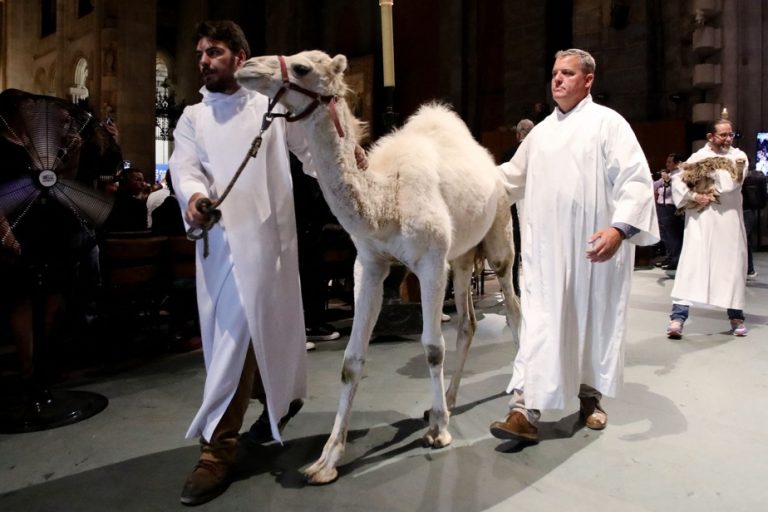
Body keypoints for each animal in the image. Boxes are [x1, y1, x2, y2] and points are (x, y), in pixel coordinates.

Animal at [236, 51, 520, 484]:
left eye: (302, 68)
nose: (246, 68)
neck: (386, 201)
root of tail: (494, 168)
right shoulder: (369, 265)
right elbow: (351, 361)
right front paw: (327, 459)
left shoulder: (430, 261)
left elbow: (432, 347)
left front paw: (438, 431)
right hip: (461, 257)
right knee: (469, 324)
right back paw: (450, 399)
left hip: (499, 238)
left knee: (515, 311)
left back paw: (518, 391)